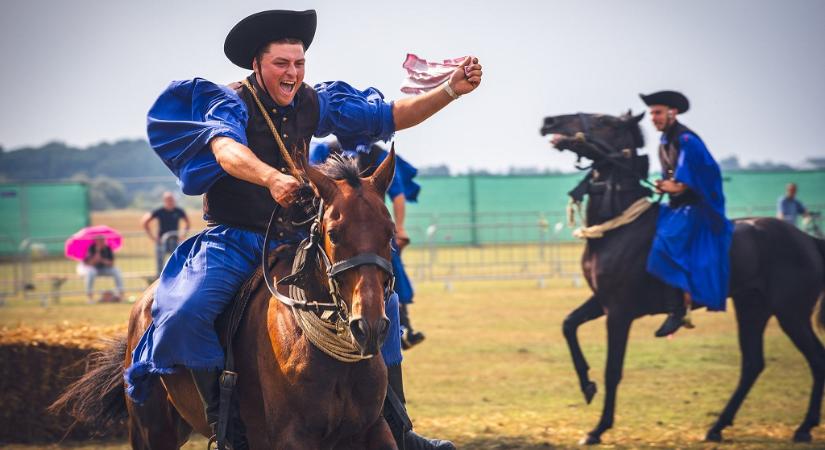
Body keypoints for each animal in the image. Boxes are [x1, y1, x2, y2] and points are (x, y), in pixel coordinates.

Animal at [49, 153, 402, 448]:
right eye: (333, 233)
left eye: (389, 232)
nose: (369, 327)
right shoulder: (293, 437)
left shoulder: (372, 430)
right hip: (152, 431)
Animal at [540, 111, 824, 442]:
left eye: (604, 121)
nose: (549, 122)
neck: (618, 229)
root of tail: (808, 240)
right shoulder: (602, 301)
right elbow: (568, 324)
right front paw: (587, 385)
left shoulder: (620, 311)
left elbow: (613, 369)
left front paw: (598, 429)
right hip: (753, 308)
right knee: (753, 364)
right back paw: (717, 427)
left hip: (792, 313)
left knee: (815, 358)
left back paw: (803, 428)